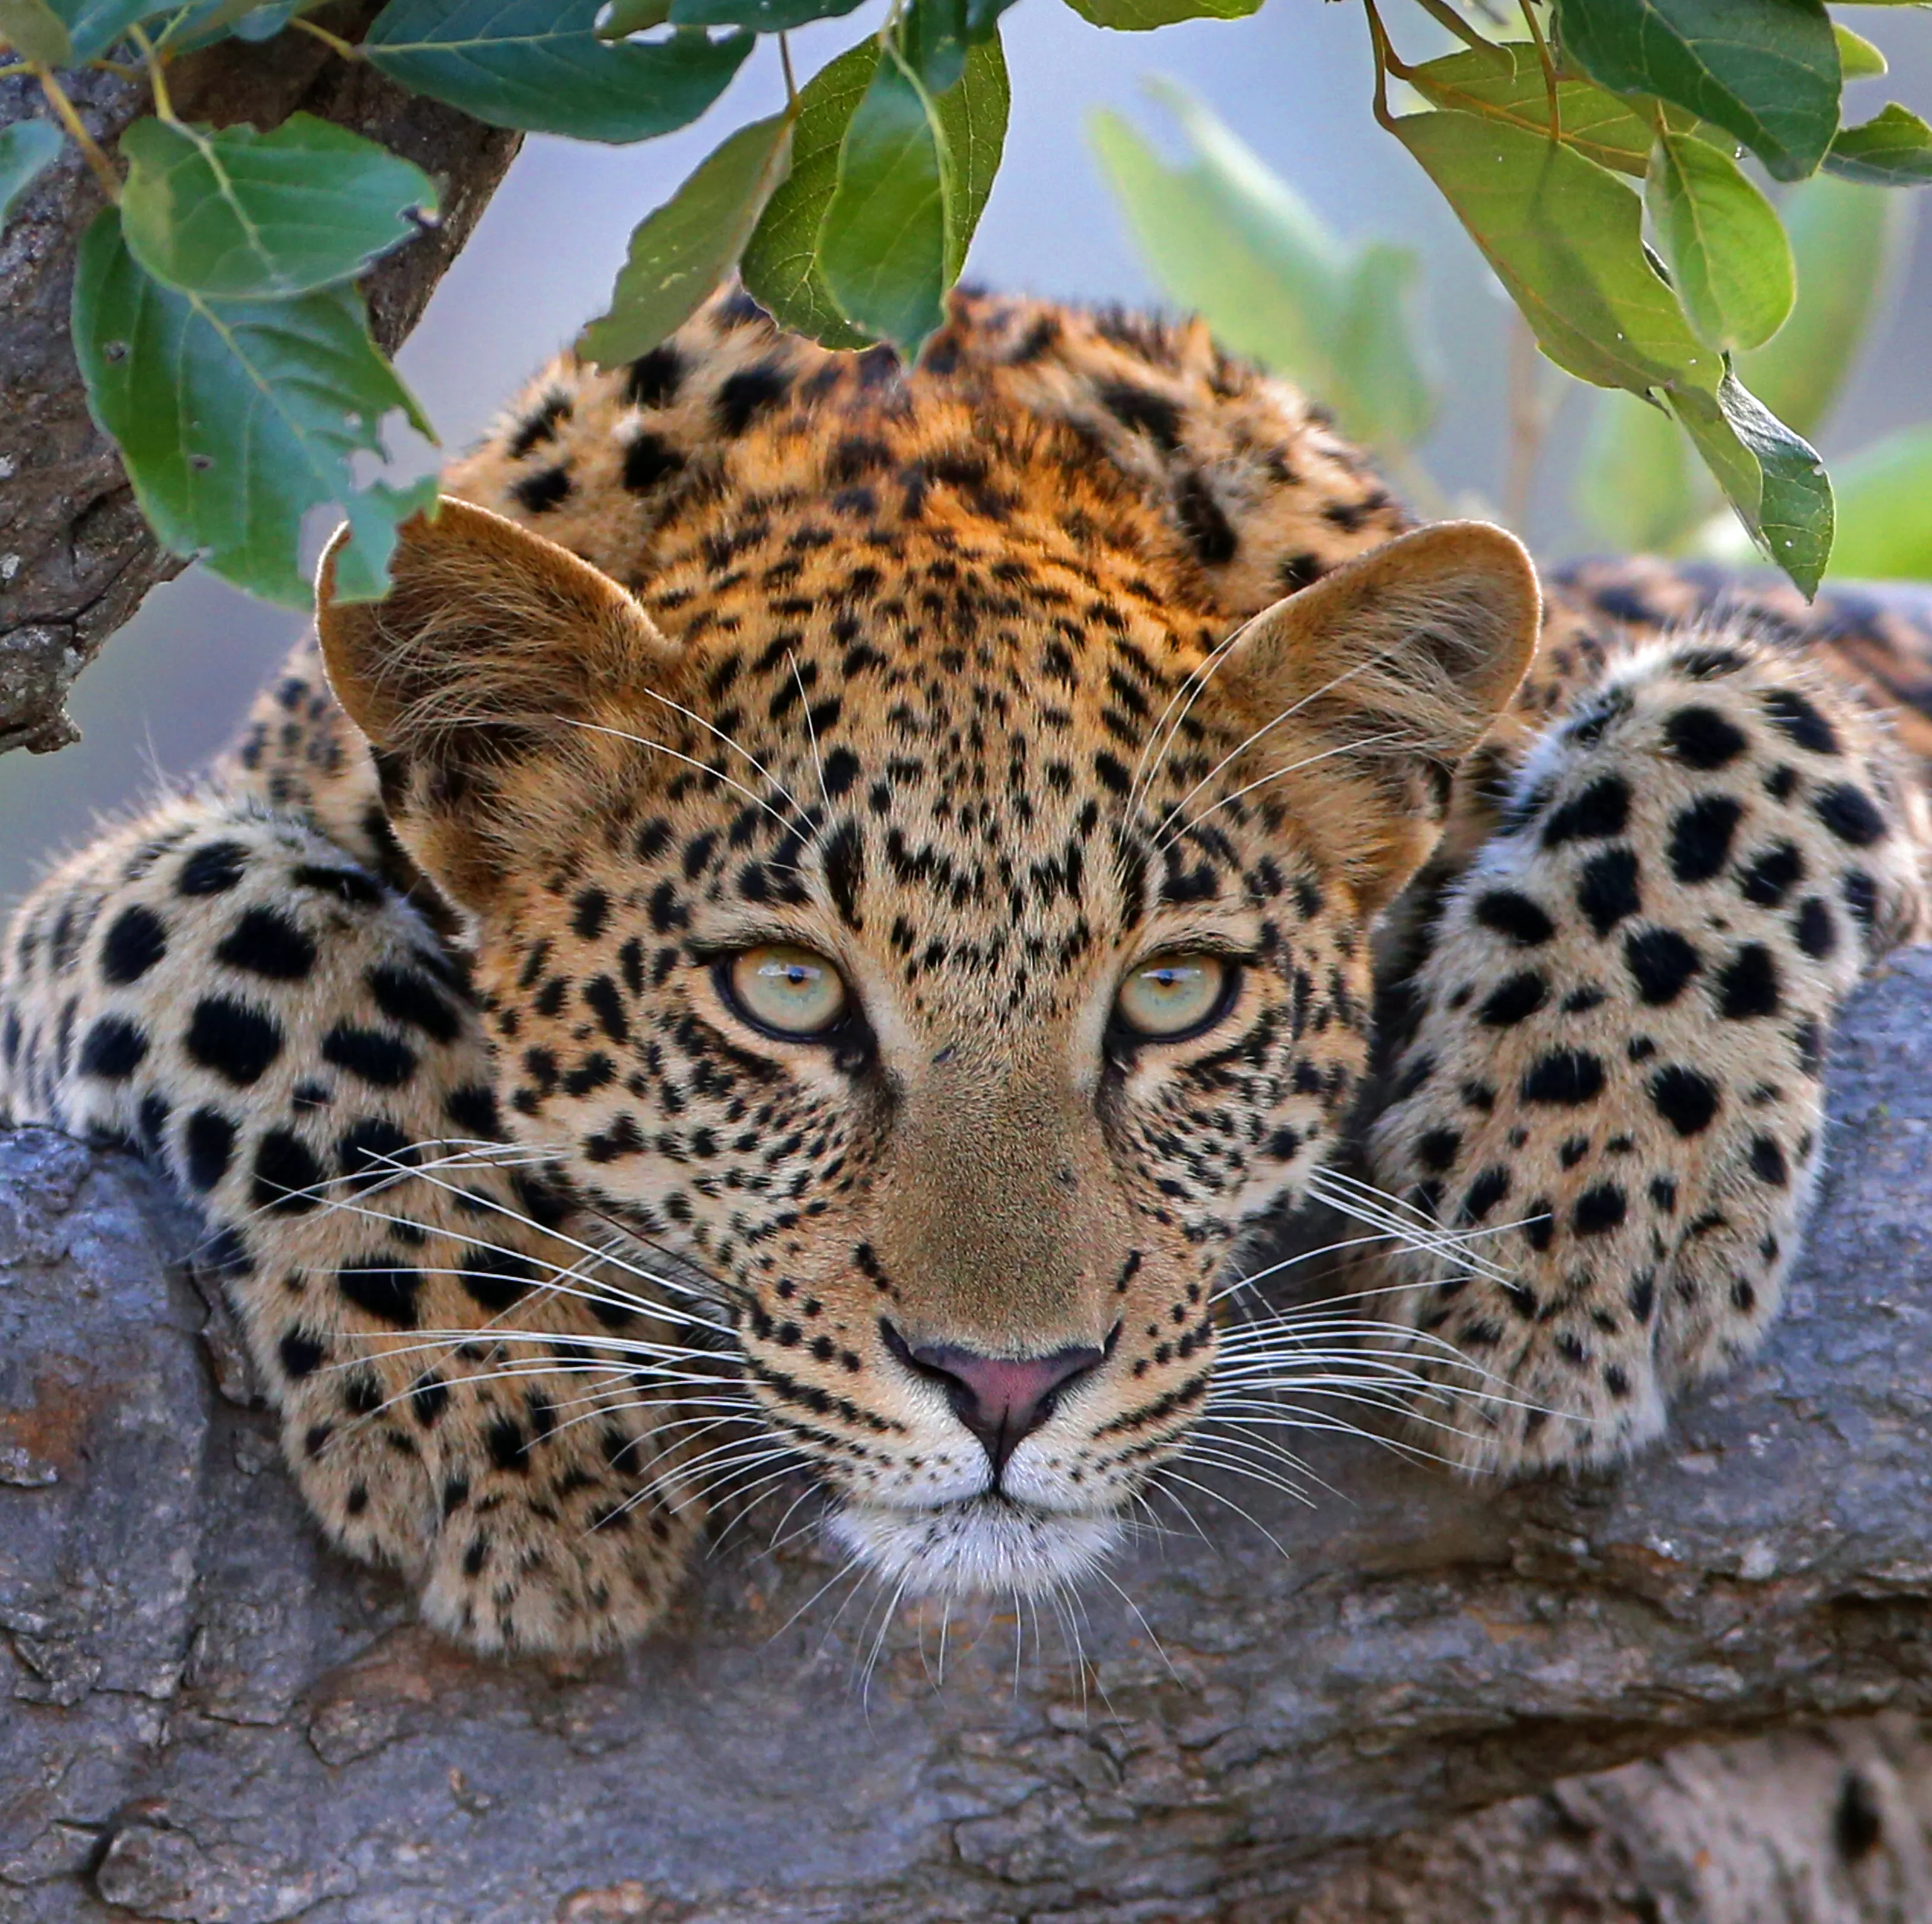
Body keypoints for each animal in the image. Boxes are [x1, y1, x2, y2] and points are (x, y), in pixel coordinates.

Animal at [5, 285, 1930, 1654]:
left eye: (1175, 997)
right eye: (784, 994)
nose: (1007, 1392)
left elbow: (1731, 711)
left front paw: (1559, 1239)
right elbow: (230, 902)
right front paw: (510, 1407)